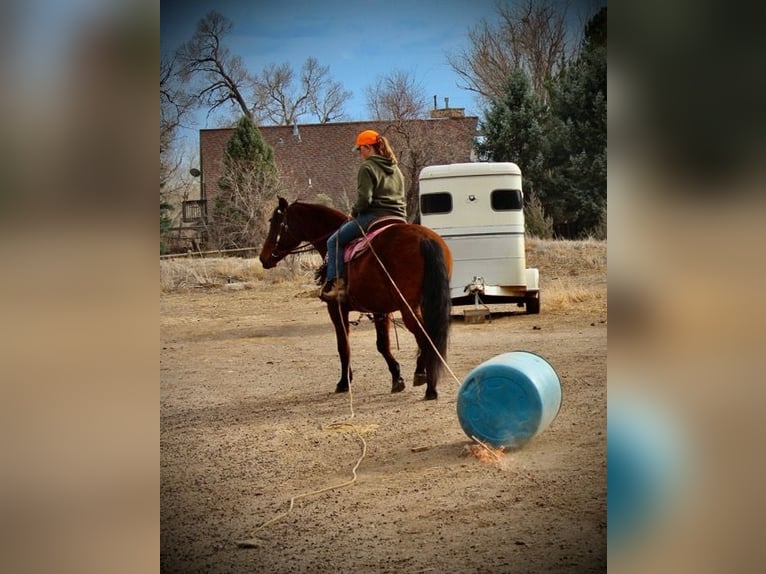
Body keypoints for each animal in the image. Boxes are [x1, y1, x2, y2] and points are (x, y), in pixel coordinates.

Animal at [260, 198, 452, 400]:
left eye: (277, 222)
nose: (263, 257)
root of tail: (425, 239)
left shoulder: (336, 309)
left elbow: (343, 346)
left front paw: (344, 382)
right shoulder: (380, 310)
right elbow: (383, 344)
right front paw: (397, 377)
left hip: (408, 307)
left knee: (426, 337)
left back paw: (430, 386)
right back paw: (423, 375)